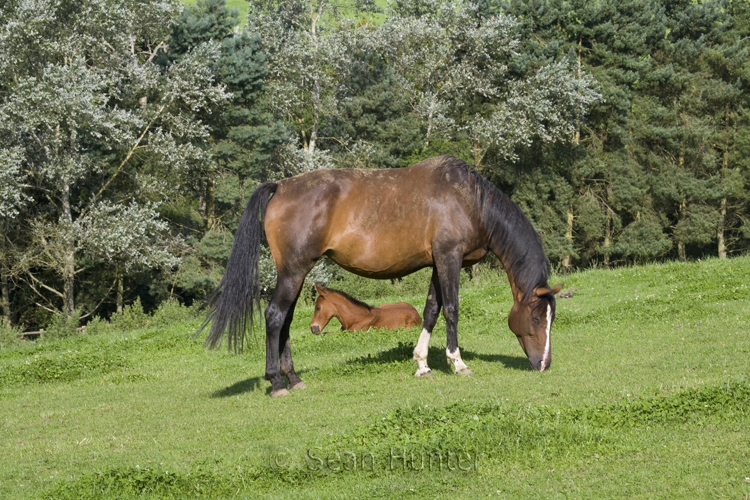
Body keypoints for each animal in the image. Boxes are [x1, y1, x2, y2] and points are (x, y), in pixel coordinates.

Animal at [201, 154, 564, 396]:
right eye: (536, 318)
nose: (545, 364)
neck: (468, 200)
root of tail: (281, 185)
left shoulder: (438, 263)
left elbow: (431, 310)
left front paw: (422, 364)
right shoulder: (450, 258)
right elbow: (451, 309)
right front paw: (457, 363)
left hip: (296, 273)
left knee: (285, 320)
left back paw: (294, 378)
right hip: (293, 271)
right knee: (275, 316)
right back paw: (276, 382)